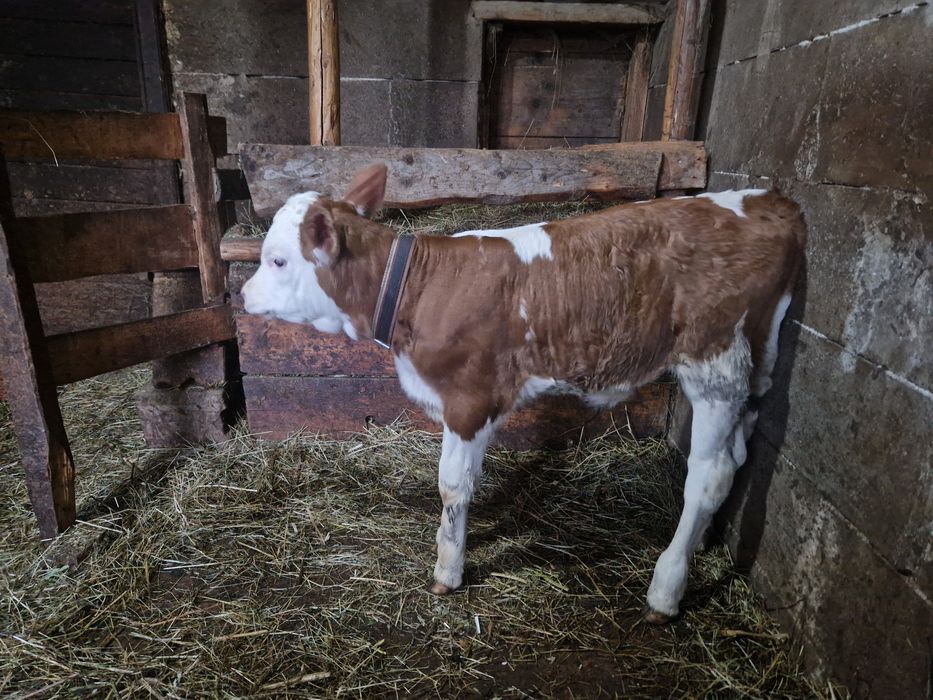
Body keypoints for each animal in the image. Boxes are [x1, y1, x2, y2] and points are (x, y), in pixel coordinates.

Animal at [241, 163, 806, 623]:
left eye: (278, 261)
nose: (243, 295)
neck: (417, 288)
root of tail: (769, 198)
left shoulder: (469, 398)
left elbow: (452, 486)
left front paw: (448, 571)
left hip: (716, 361)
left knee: (709, 474)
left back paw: (666, 589)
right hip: (755, 362)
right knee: (736, 457)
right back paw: (703, 541)